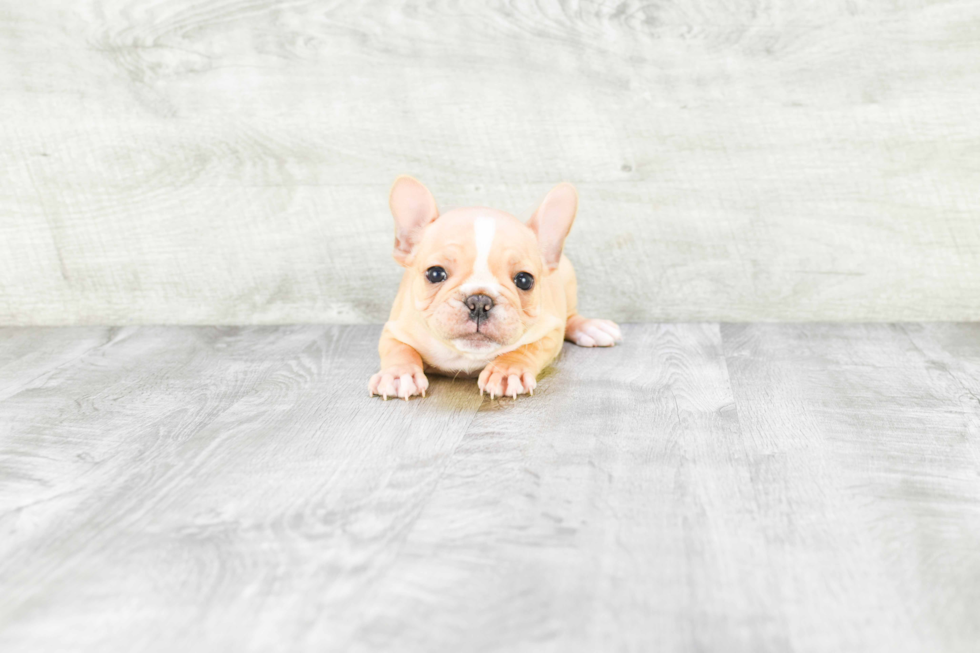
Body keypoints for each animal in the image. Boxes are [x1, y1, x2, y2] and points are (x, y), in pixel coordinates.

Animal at [368, 174, 620, 398]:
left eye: (525, 280)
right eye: (435, 273)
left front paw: (509, 371)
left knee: (571, 317)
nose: (479, 301)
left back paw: (590, 327)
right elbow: (399, 349)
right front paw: (399, 374)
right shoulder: (395, 328)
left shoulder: (550, 331)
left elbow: (526, 348)